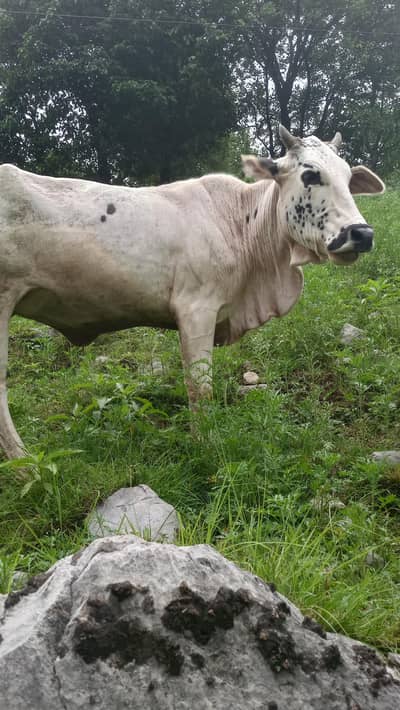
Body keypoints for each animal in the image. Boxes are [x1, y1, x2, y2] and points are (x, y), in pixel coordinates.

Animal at [0, 125, 384, 459]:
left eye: (349, 178)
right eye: (310, 175)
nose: (362, 233)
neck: (241, 224)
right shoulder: (196, 310)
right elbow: (200, 386)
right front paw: (206, 444)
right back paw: (24, 464)